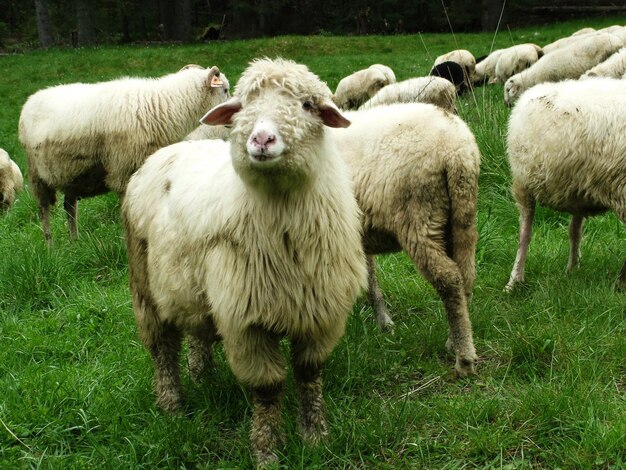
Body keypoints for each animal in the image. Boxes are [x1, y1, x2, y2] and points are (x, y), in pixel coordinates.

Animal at [18, 63, 230, 241]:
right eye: (225, 90)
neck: (161, 107)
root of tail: (31, 99)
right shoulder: (123, 172)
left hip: (72, 175)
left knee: (70, 206)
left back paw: (74, 242)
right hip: (37, 174)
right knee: (44, 210)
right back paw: (50, 246)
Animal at [121, 57, 366, 466]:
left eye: (307, 105)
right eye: (245, 106)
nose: (262, 140)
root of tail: (168, 151)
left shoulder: (321, 310)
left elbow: (309, 373)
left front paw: (316, 437)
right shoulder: (246, 320)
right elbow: (268, 389)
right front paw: (266, 451)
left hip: (193, 288)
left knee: (197, 329)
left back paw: (202, 373)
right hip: (144, 286)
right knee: (161, 349)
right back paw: (172, 404)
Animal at [330, 103, 480, 378]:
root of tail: (456, 150)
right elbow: (369, 277)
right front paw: (384, 323)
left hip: (419, 215)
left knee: (448, 278)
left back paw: (464, 359)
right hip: (461, 214)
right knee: (465, 273)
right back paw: (455, 340)